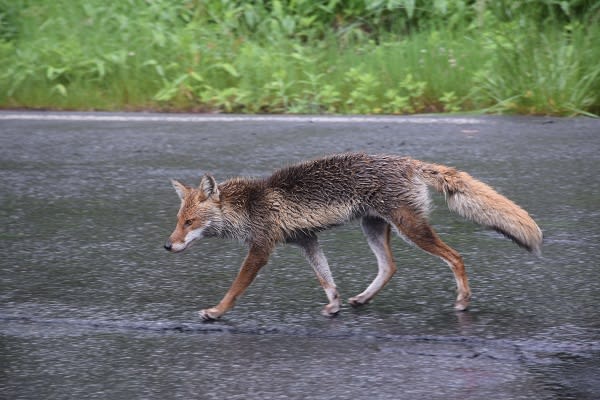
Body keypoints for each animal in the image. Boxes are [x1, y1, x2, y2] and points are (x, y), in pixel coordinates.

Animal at [165, 152, 544, 320]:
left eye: (190, 222)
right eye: (178, 221)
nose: (167, 245)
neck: (247, 206)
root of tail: (408, 162)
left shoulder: (260, 249)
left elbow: (234, 289)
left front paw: (216, 312)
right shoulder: (306, 241)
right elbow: (327, 280)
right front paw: (334, 305)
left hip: (411, 230)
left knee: (456, 257)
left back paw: (464, 301)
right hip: (374, 228)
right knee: (390, 267)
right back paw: (362, 299)